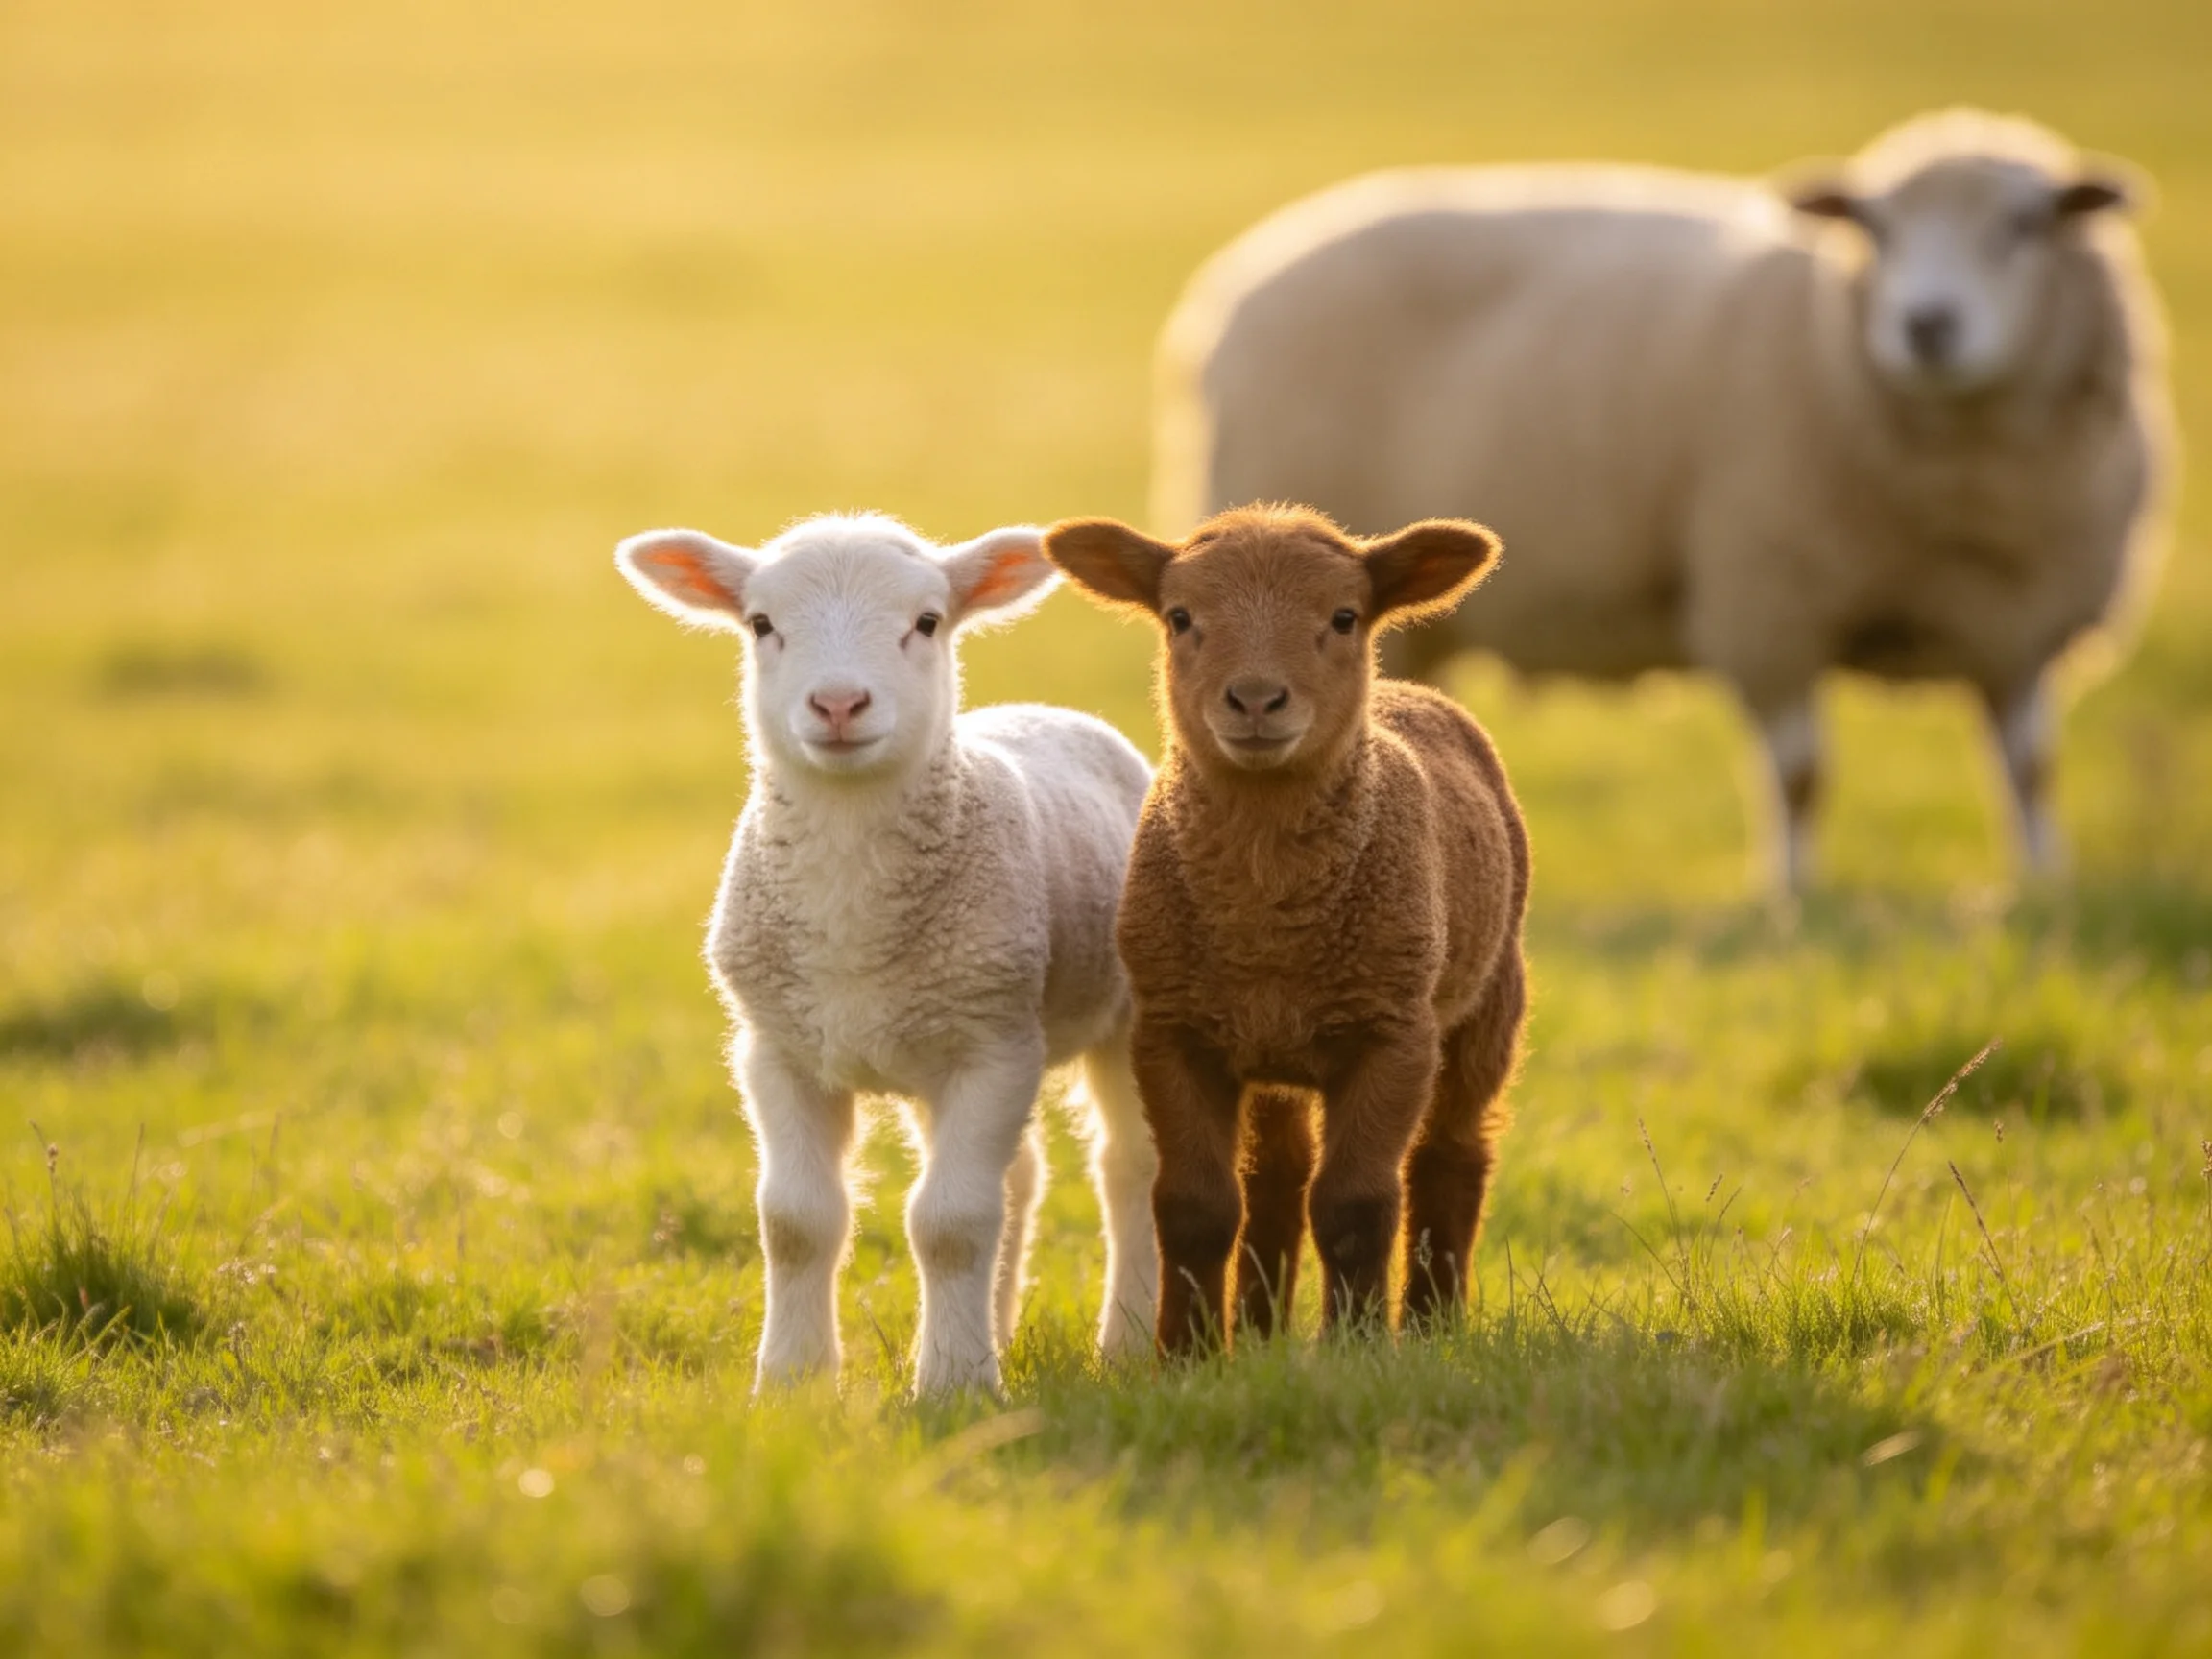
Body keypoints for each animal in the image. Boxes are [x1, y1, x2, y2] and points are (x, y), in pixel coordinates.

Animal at [615, 512, 1158, 1395]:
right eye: (761, 625)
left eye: (927, 622)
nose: (838, 702)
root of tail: (1047, 712)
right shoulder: (777, 1048)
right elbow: (796, 1221)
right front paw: (792, 1383)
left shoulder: (992, 1043)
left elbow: (951, 1222)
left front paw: (954, 1385)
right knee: (1020, 1175)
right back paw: (996, 1328)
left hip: (1125, 1015)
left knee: (1129, 1167)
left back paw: (1131, 1341)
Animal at [1042, 504, 1529, 1353]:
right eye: (1180, 617)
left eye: (1344, 617)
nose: (1257, 700)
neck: (1267, 918)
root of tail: (1408, 691)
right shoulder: (1174, 1034)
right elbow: (1195, 1207)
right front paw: (1188, 1355)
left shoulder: (1392, 1034)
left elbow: (1356, 1207)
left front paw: (1355, 1350)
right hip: (1272, 1045)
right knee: (1276, 1176)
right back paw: (1261, 1329)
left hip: (1487, 1003)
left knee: (1450, 1157)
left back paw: (1431, 1326)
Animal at [1155, 109, 2172, 891]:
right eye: (1875, 231)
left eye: (2026, 226)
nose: (1927, 325)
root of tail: (1233, 286)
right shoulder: (1769, 601)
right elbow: (1801, 776)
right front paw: (1794, 898)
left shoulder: (2021, 622)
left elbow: (2031, 769)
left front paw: (2042, 887)